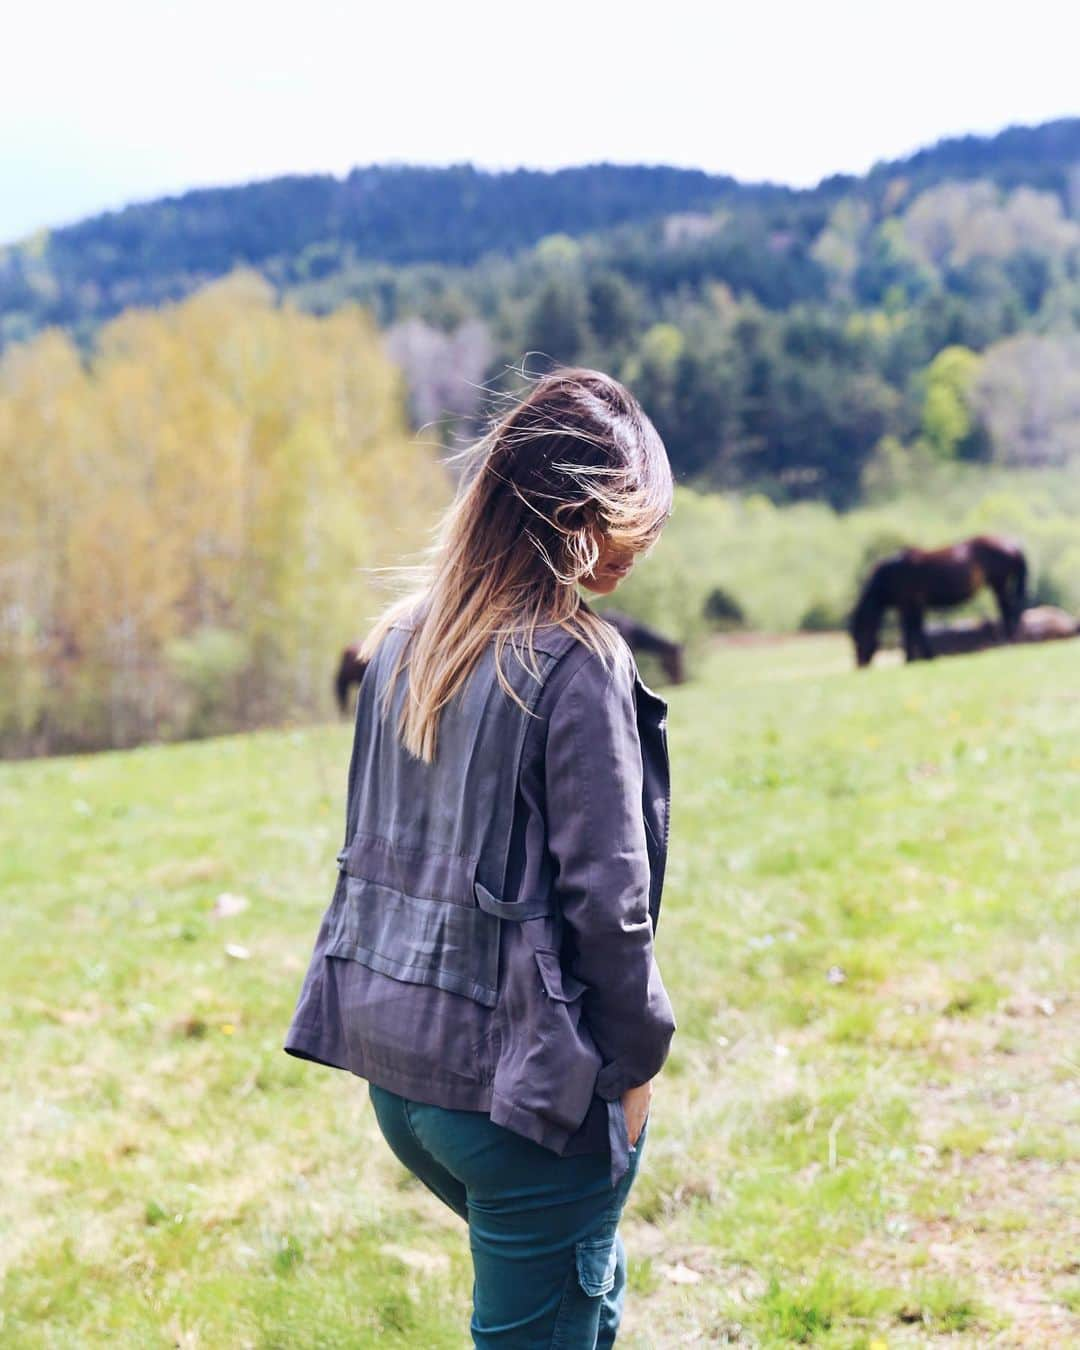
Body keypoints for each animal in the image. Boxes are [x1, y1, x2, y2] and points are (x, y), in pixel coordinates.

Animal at [847, 534, 1026, 666]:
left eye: (858, 638)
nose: (860, 665)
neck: (890, 575)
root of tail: (1013, 545)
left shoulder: (908, 604)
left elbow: (910, 631)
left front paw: (910, 660)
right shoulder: (914, 605)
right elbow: (917, 630)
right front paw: (925, 657)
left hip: (999, 584)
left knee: (1006, 609)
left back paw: (1007, 641)